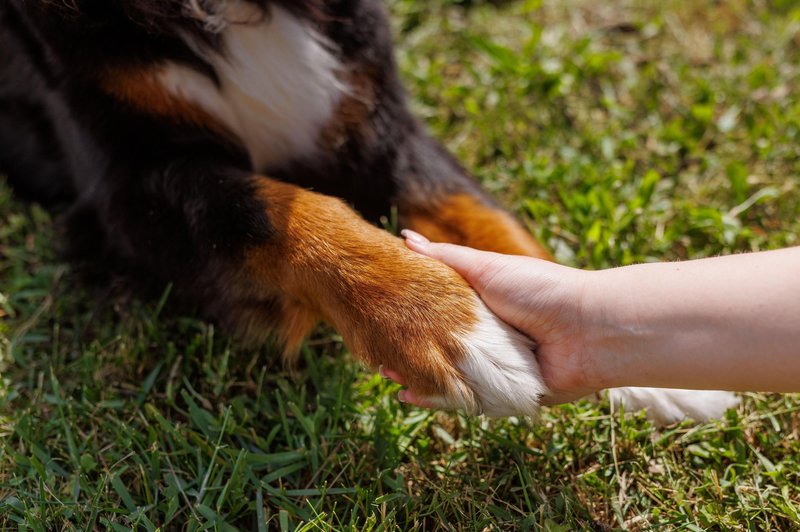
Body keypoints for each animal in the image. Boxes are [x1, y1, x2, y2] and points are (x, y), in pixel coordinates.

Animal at [1, 0, 736, 424]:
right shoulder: (123, 189)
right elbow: (272, 212)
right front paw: (453, 327)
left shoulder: (378, 118)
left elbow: (490, 225)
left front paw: (631, 359)